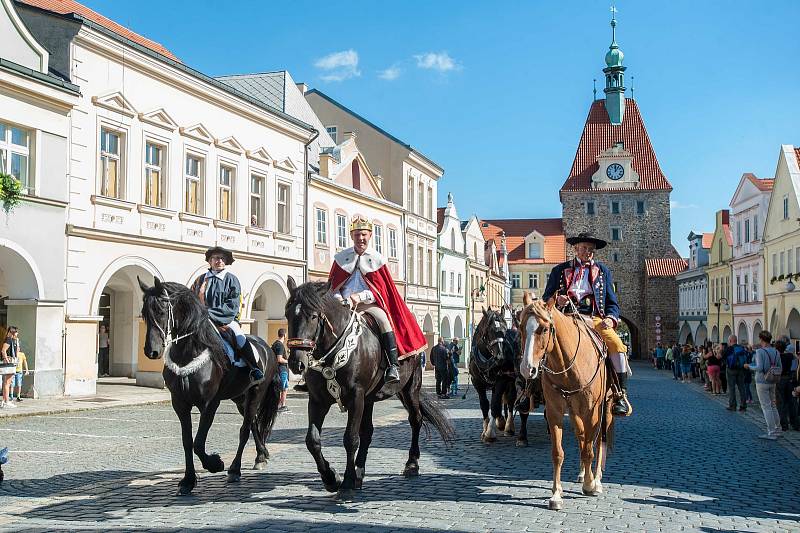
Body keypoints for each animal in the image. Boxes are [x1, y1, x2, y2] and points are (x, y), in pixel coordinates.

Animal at [139, 278, 282, 494]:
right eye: (144, 313)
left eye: (162, 311)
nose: (152, 351)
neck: (188, 353)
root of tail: (267, 348)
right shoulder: (180, 404)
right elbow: (187, 442)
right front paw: (188, 480)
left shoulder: (209, 404)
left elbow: (198, 443)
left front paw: (215, 464)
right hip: (240, 398)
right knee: (254, 424)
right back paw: (261, 455)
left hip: (256, 393)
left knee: (245, 429)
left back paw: (235, 469)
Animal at [284, 278, 454, 498]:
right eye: (288, 314)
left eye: (313, 316)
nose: (297, 363)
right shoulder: (318, 400)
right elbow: (312, 440)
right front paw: (331, 478)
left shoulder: (355, 397)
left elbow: (350, 438)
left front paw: (346, 483)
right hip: (370, 399)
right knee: (368, 431)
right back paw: (359, 471)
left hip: (409, 389)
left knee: (415, 420)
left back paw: (411, 464)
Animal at [468, 306, 532, 446]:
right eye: (490, 330)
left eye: (504, 330)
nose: (501, 357)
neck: (488, 360)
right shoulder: (477, 383)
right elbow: (484, 404)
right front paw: (485, 429)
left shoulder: (501, 381)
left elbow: (495, 404)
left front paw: (489, 433)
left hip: (512, 381)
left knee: (510, 401)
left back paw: (508, 426)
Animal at [516, 294, 616, 510]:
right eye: (520, 327)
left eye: (544, 329)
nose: (527, 368)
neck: (568, 367)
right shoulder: (555, 411)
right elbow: (558, 453)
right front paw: (556, 494)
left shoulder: (591, 411)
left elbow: (589, 450)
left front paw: (590, 484)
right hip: (575, 412)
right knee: (581, 436)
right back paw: (582, 473)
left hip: (605, 409)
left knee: (598, 442)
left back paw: (596, 479)